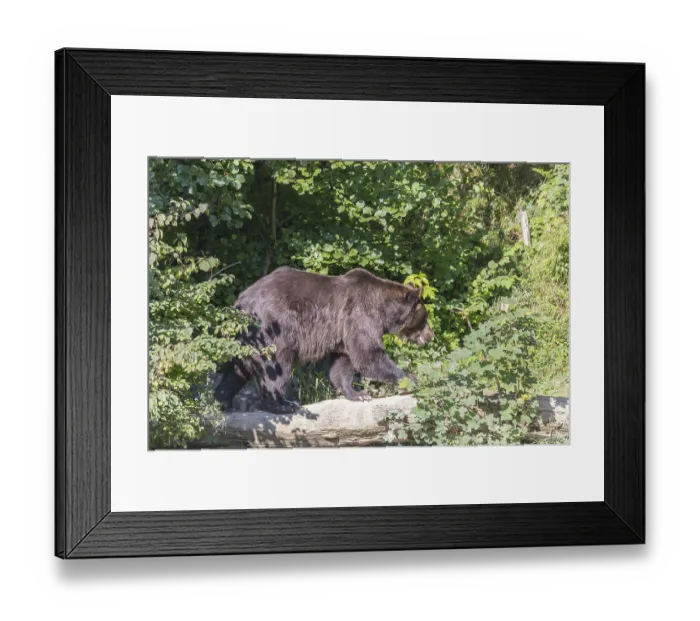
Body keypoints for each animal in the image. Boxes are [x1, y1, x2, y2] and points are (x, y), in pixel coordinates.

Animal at [215, 267, 434, 413]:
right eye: (425, 317)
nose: (430, 335)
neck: (383, 310)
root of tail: (241, 301)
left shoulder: (343, 332)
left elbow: (344, 362)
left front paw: (357, 394)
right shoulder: (361, 316)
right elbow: (368, 355)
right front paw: (411, 378)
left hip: (241, 337)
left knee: (236, 369)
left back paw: (222, 401)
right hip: (273, 327)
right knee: (277, 365)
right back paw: (284, 405)